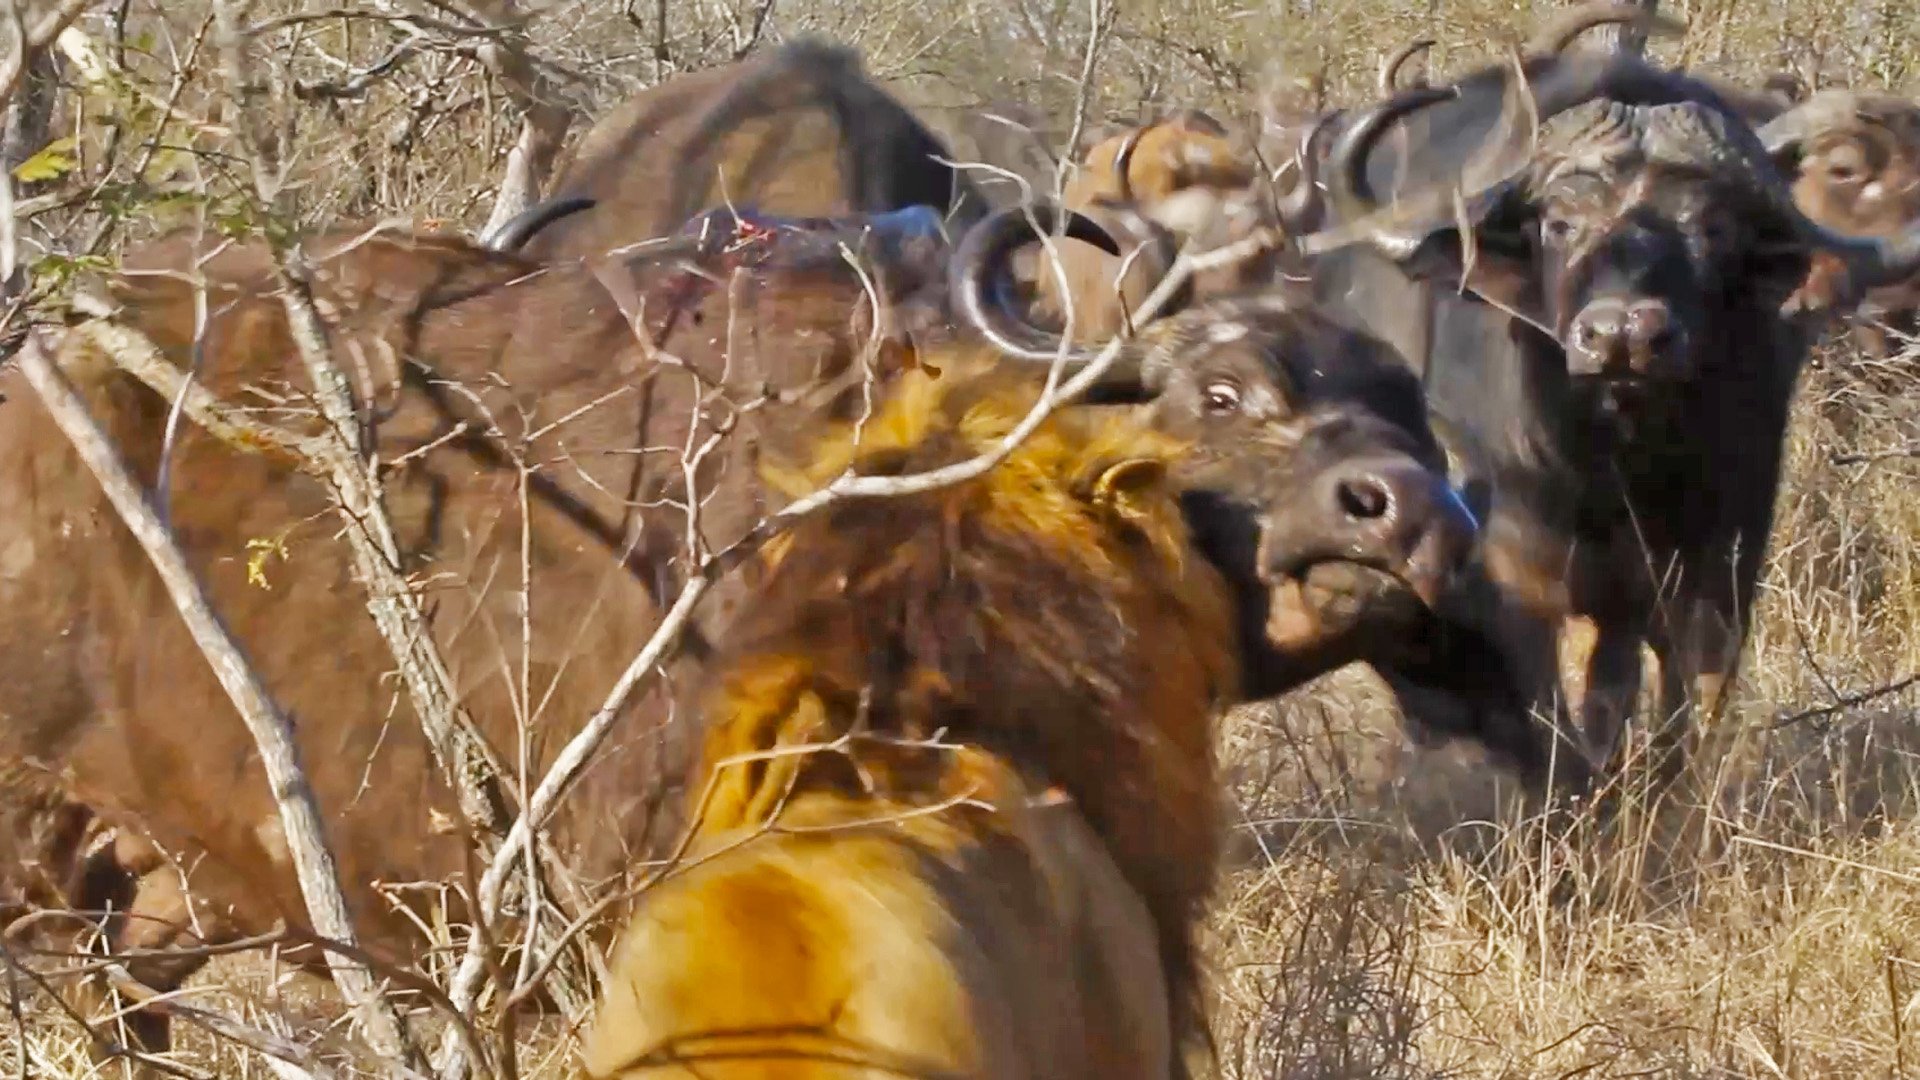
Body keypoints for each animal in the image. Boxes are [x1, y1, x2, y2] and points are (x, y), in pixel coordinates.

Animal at [1295, 22, 1920, 787]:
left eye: (1714, 228)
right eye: (1560, 223)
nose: (1622, 334)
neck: (1616, 463)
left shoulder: (1721, 566)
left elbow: (1687, 707)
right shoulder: (1518, 577)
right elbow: (1550, 717)